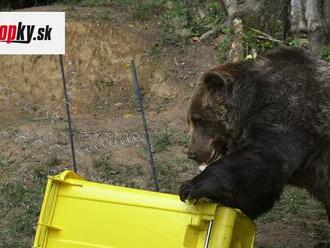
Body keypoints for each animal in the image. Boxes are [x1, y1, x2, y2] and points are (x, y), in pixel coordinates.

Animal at [179, 47, 330, 221]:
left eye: (197, 120)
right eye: (189, 120)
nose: (192, 153)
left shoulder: (289, 110)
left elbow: (263, 157)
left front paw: (192, 186)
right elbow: (259, 191)